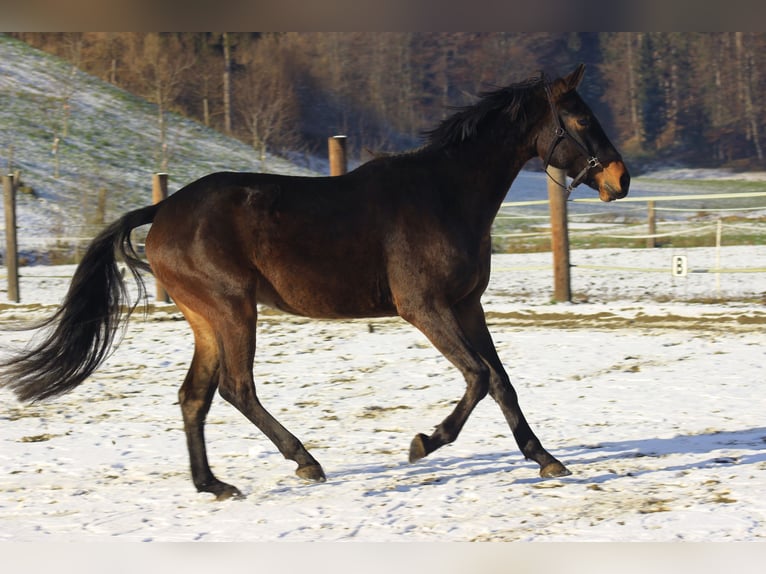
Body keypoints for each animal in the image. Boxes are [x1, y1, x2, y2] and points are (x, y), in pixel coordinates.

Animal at [0, 65, 632, 502]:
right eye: (580, 120)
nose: (621, 179)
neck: (445, 194)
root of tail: (163, 210)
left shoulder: (467, 306)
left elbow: (502, 382)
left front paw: (545, 458)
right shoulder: (424, 307)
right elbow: (478, 378)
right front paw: (423, 443)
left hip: (206, 318)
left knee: (194, 395)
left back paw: (214, 485)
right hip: (233, 309)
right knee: (236, 388)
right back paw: (304, 461)